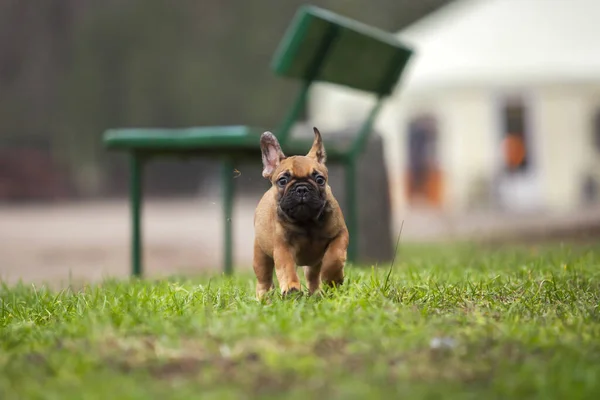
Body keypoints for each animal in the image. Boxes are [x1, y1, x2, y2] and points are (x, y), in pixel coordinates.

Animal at [252, 126, 346, 298]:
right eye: (283, 181)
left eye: (320, 180)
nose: (301, 188)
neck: (307, 222)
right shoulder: (282, 246)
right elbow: (287, 267)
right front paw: (292, 288)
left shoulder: (340, 234)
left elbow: (334, 257)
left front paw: (333, 279)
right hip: (260, 256)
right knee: (264, 280)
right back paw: (264, 298)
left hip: (313, 263)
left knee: (313, 277)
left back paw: (316, 293)